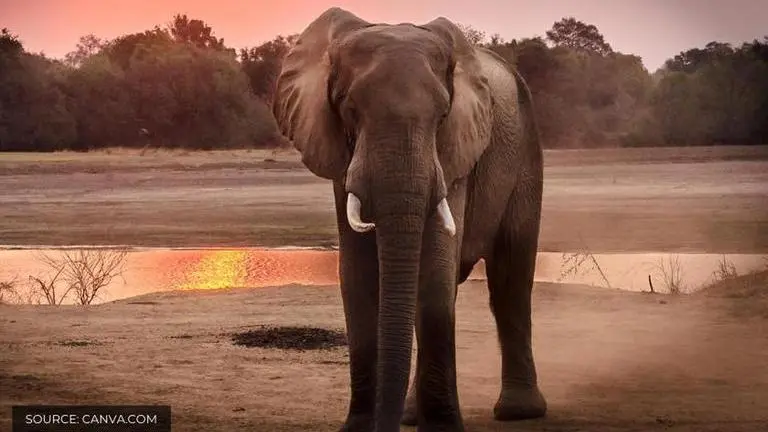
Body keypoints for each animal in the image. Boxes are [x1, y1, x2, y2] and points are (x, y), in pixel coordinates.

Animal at [273, 7, 545, 432]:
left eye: (443, 115)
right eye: (349, 110)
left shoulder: (455, 151)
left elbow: (434, 273)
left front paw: (444, 428)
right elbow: (358, 277)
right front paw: (359, 428)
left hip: (527, 154)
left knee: (510, 279)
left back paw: (519, 412)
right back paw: (412, 416)